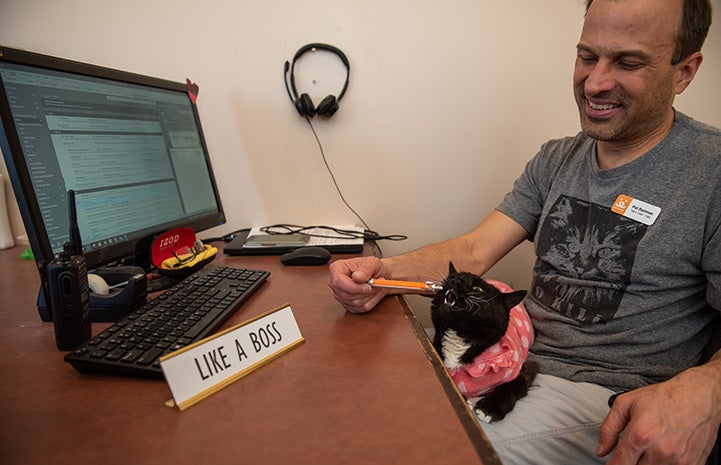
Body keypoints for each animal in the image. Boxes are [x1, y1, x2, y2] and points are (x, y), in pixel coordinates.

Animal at [430, 262, 536, 422]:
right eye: (454, 277)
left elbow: (511, 386)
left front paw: (489, 409)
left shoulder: (526, 368)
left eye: (477, 289)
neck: (459, 337)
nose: (455, 281)